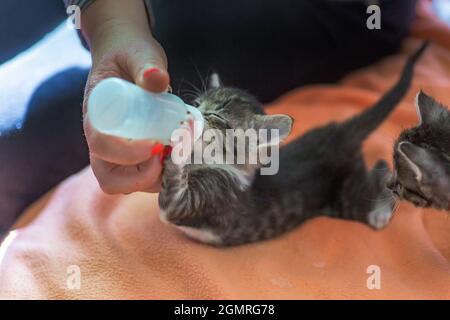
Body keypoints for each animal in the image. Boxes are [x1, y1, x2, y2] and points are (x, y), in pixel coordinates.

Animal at [160, 42, 428, 246]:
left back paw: (380, 213)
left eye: (215, 116)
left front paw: (180, 134)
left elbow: (170, 196)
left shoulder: (191, 203)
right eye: (197, 102)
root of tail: (335, 131)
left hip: (349, 198)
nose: (190, 110)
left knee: (378, 179)